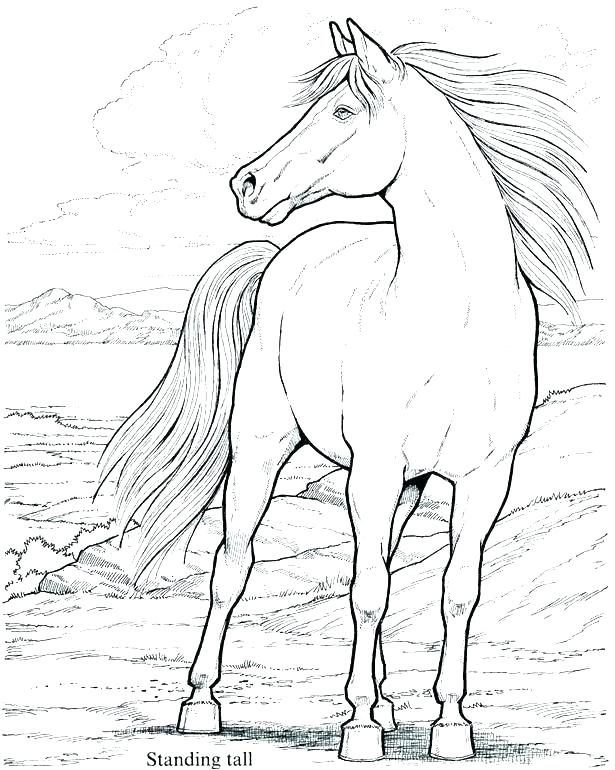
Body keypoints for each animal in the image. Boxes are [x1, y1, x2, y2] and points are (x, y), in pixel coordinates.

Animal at [98, 18, 592, 762]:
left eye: (340, 111)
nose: (246, 184)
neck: (453, 319)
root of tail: (283, 255)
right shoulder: (374, 470)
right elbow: (366, 593)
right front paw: (357, 727)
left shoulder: (482, 478)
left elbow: (455, 592)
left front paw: (449, 725)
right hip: (262, 450)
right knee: (231, 566)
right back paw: (202, 704)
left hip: (405, 487)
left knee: (378, 560)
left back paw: (387, 705)